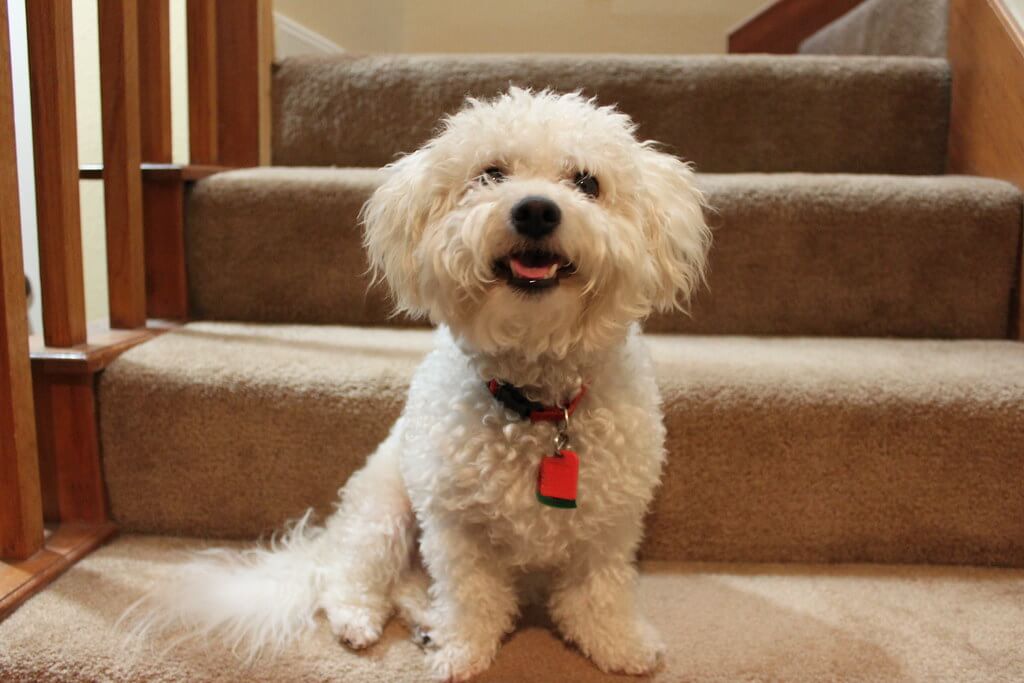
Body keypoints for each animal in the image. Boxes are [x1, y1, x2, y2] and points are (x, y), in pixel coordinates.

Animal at [123, 88, 708, 679]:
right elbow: (472, 596)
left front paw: (618, 643)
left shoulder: (609, 522)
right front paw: (462, 651)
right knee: (351, 578)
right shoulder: (455, 526)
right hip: (383, 512)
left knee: (406, 587)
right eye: (490, 174)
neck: (535, 403)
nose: (536, 210)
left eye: (588, 182)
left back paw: (426, 622)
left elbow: (599, 589)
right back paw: (363, 621)